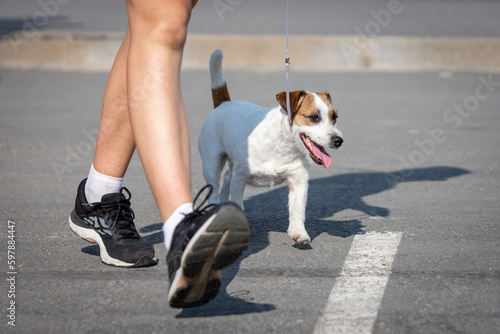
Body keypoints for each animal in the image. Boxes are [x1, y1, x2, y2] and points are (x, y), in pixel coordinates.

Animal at [197, 49, 342, 245]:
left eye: (335, 117)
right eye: (314, 117)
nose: (338, 140)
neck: (281, 145)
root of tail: (224, 103)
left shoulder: (299, 180)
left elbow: (297, 210)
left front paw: (298, 232)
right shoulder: (240, 179)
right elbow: (238, 202)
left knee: (226, 178)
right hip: (211, 164)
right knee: (215, 186)